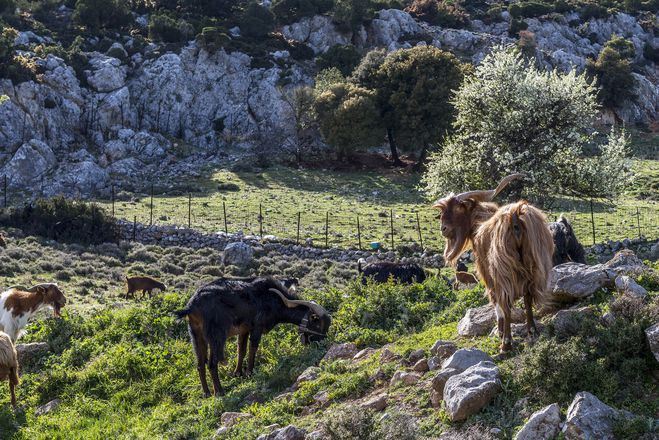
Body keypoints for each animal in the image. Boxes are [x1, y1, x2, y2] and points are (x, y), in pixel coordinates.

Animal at [174, 276, 330, 398]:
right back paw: (219, 391)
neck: (272, 298)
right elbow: (253, 347)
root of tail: (191, 306)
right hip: (216, 335)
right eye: (317, 324)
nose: (322, 343)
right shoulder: (257, 326)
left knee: (200, 364)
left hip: (196, 335)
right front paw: (250, 372)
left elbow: (241, 350)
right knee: (212, 363)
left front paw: (238, 373)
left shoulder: (244, 330)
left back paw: (206, 393)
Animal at [434, 175, 556, 354]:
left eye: (457, 209)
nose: (443, 229)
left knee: (506, 304)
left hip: (503, 271)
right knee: (528, 297)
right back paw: (532, 331)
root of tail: (514, 215)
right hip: (534, 265)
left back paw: (506, 344)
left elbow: (496, 302)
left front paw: (500, 332)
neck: (478, 223)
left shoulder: (488, 273)